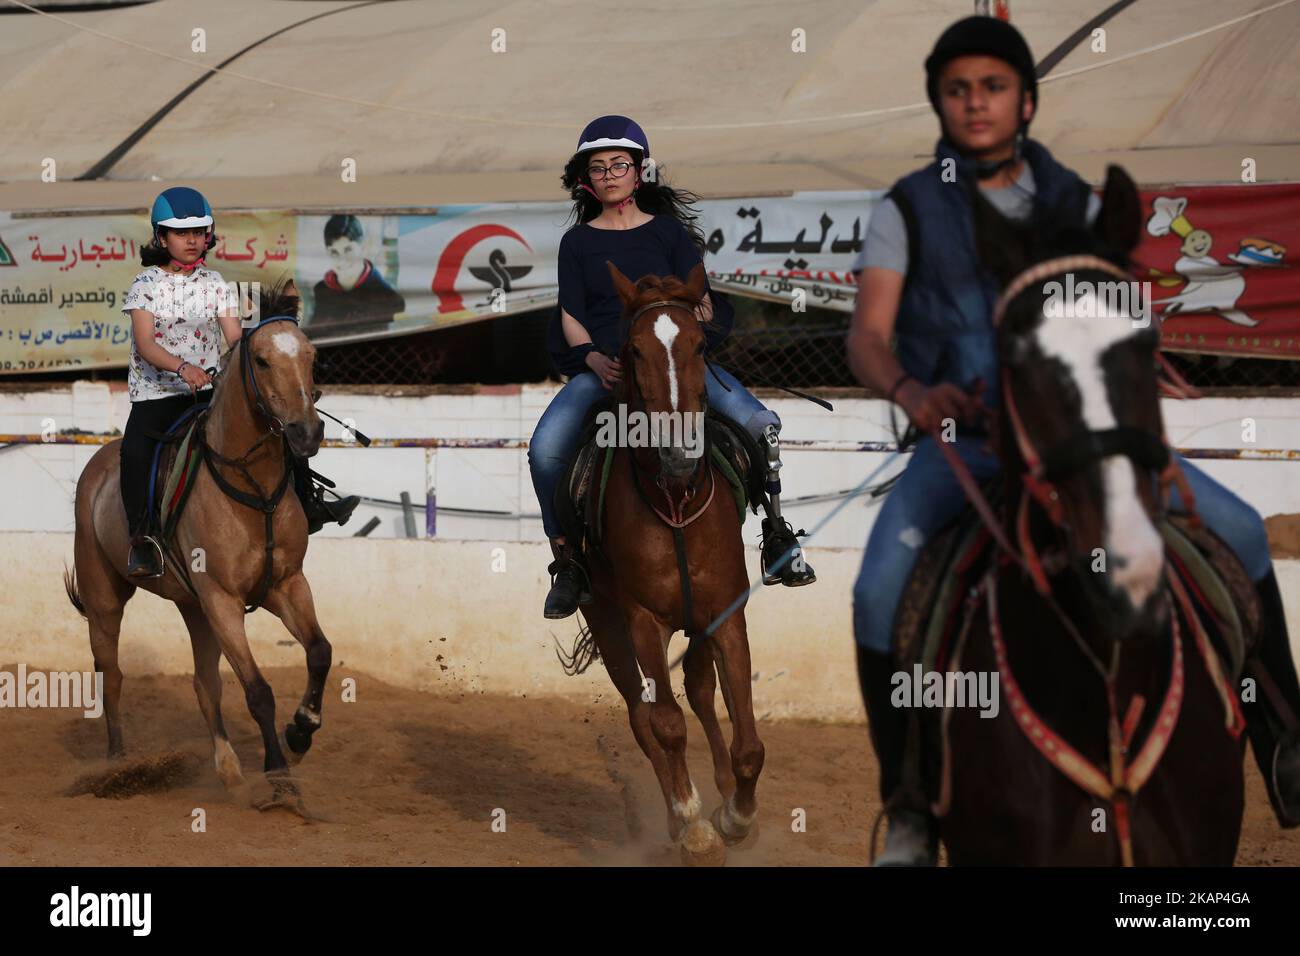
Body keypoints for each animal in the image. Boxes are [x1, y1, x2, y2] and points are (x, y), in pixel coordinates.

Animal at [65, 280, 330, 811]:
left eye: (311, 356)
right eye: (263, 360)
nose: (306, 432)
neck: (251, 486)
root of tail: (97, 465)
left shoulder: (287, 586)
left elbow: (319, 652)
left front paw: (301, 731)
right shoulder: (224, 600)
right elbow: (258, 691)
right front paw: (279, 775)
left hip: (194, 607)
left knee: (204, 685)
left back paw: (228, 771)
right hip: (107, 600)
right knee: (112, 676)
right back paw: (117, 764)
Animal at [566, 261, 764, 868]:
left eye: (701, 344)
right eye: (633, 350)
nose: (678, 453)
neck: (674, 499)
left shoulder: (726, 615)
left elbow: (747, 739)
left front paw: (737, 816)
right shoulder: (641, 621)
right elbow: (667, 724)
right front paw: (695, 827)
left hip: (695, 622)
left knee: (700, 690)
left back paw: (720, 793)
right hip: (607, 625)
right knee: (642, 716)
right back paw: (681, 817)